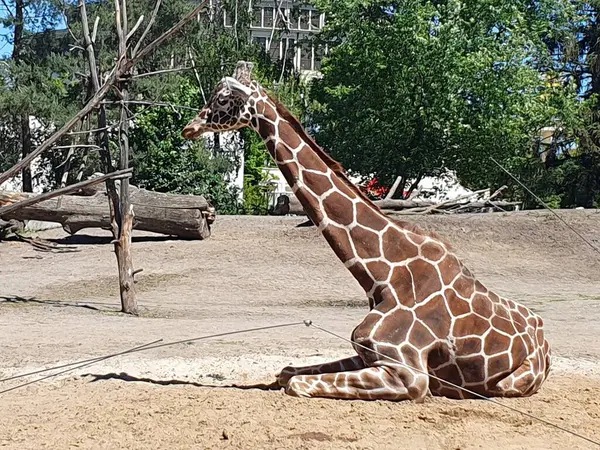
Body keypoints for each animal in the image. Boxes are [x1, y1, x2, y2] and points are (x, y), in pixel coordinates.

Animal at [180, 61, 552, 402]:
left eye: (223, 99)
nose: (189, 127)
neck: (382, 277)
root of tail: (545, 338)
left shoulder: (410, 375)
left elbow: (295, 383)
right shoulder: (365, 353)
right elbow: (287, 371)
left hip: (511, 382)